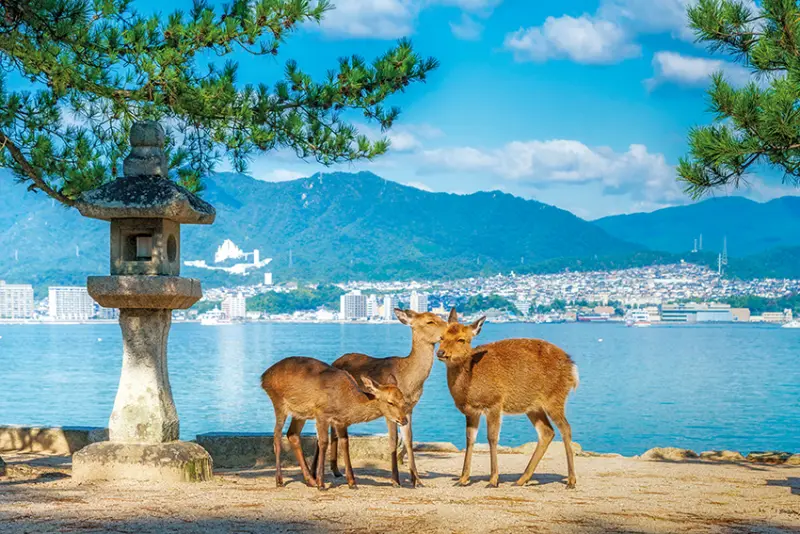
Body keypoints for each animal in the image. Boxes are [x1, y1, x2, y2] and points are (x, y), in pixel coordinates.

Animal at [261, 356, 410, 490]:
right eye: (390, 402)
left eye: (403, 401)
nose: (404, 420)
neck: (345, 402)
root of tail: (263, 377)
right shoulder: (321, 413)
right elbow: (323, 443)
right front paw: (321, 484)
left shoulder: (341, 422)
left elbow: (345, 443)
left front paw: (352, 483)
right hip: (279, 403)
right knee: (277, 436)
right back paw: (280, 480)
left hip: (300, 413)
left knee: (292, 434)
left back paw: (310, 480)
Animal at [312, 308, 449, 487]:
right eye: (429, 321)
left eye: (439, 317)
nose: (450, 329)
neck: (409, 381)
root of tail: (333, 362)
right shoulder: (388, 411)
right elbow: (393, 440)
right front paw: (395, 480)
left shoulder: (409, 409)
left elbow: (409, 439)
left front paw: (417, 480)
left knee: (334, 430)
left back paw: (336, 470)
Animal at [437, 308, 579, 489]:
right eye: (441, 337)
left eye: (461, 339)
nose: (440, 352)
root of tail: (572, 367)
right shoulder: (471, 411)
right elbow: (469, 438)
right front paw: (462, 479)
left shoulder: (494, 403)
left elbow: (492, 438)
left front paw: (493, 480)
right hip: (533, 407)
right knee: (547, 432)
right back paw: (522, 479)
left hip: (555, 398)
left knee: (566, 429)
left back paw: (571, 481)